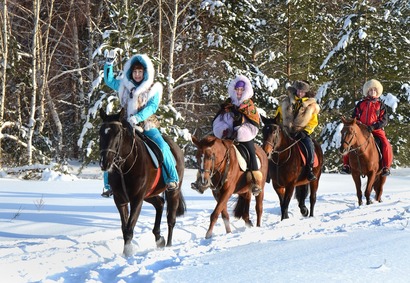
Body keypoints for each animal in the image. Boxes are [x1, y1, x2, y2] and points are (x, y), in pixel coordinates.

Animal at [99, 108, 186, 258]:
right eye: (100, 132)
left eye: (117, 133)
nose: (105, 162)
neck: (124, 167)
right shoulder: (120, 200)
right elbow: (124, 228)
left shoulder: (136, 199)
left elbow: (129, 228)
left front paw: (128, 253)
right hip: (149, 194)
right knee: (160, 204)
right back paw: (159, 238)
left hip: (172, 192)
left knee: (171, 219)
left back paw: (168, 245)